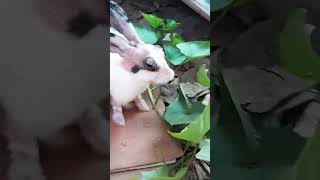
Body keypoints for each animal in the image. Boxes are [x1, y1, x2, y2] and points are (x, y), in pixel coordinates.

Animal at [0, 0, 108, 180]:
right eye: (80, 24)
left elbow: (90, 114)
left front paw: (103, 139)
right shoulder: (17, 114)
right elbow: (23, 144)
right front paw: (27, 174)